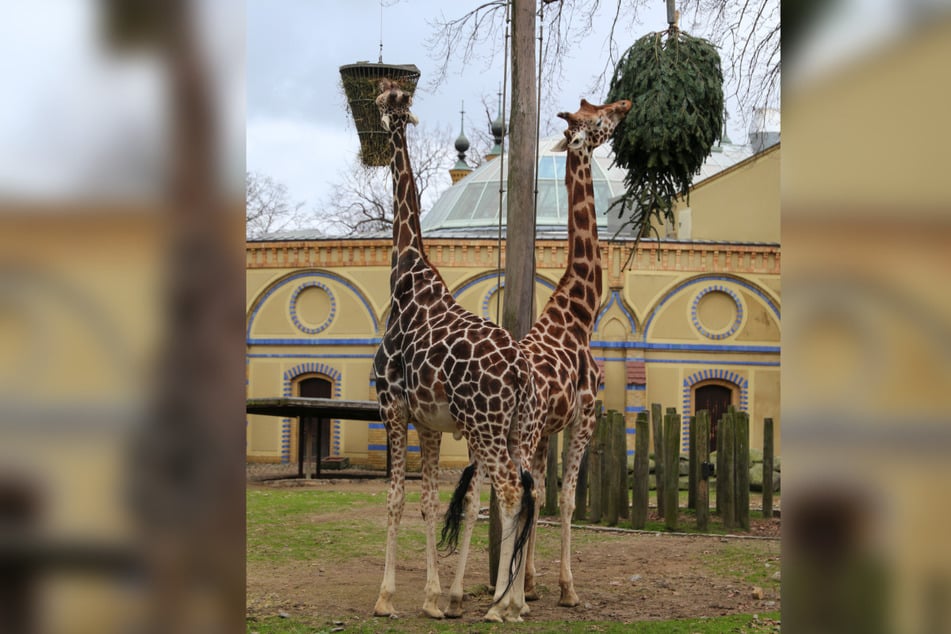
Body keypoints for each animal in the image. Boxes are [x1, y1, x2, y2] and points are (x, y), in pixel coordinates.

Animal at [370, 79, 540, 624]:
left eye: (387, 99)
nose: (377, 110)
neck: (406, 272)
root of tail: (521, 370)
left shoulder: (391, 407)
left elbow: (396, 499)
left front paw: (386, 599)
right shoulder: (428, 422)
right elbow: (427, 501)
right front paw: (431, 598)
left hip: (486, 425)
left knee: (510, 490)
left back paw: (500, 606)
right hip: (515, 428)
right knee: (524, 489)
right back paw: (513, 602)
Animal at [440, 96, 632, 608]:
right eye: (598, 118)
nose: (625, 104)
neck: (578, 315)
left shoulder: (548, 431)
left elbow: (540, 494)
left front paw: (528, 581)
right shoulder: (585, 414)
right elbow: (562, 498)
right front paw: (565, 588)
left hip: (483, 437)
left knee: (478, 495)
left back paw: (459, 594)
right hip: (516, 435)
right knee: (506, 492)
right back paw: (501, 601)